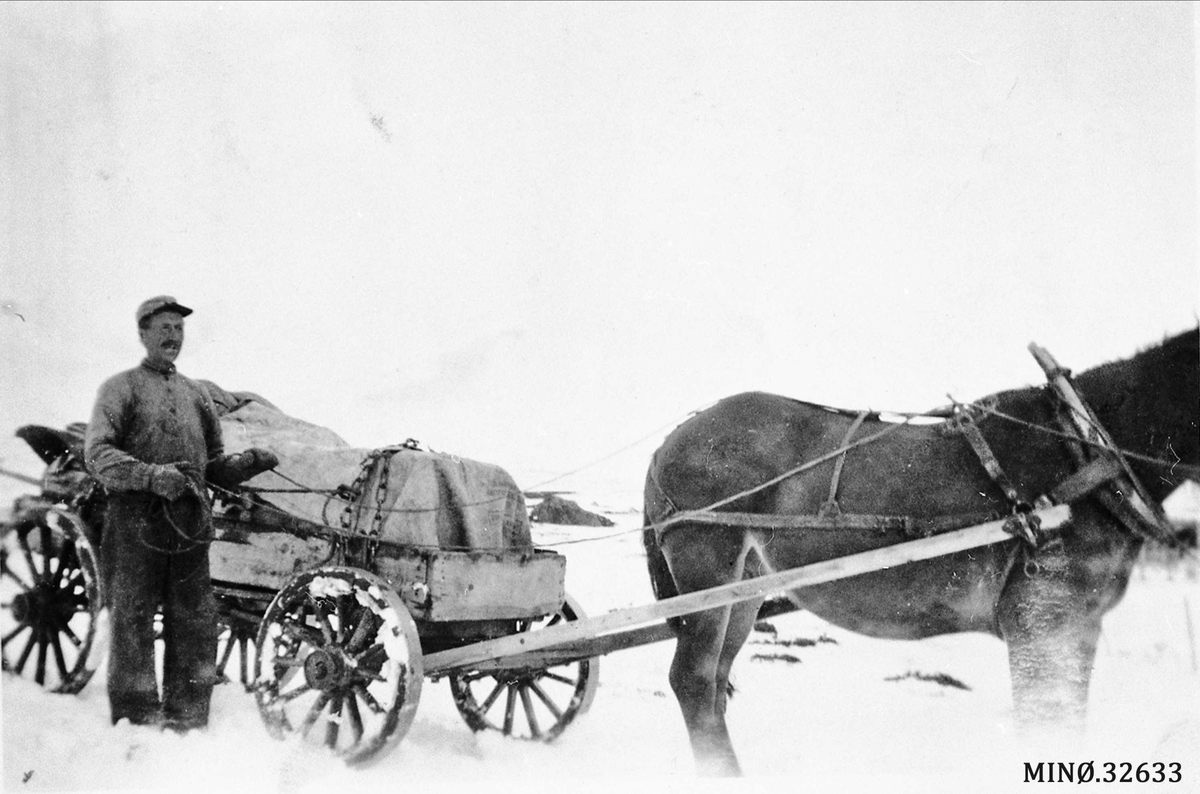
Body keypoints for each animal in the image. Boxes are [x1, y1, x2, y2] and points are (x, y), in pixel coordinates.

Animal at [648, 331, 1200, 777]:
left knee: (715, 683)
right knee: (693, 680)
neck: (1085, 450)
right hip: (708, 572)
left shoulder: (1080, 624)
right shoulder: (1039, 620)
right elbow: (1040, 723)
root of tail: (666, 444)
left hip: (744, 587)